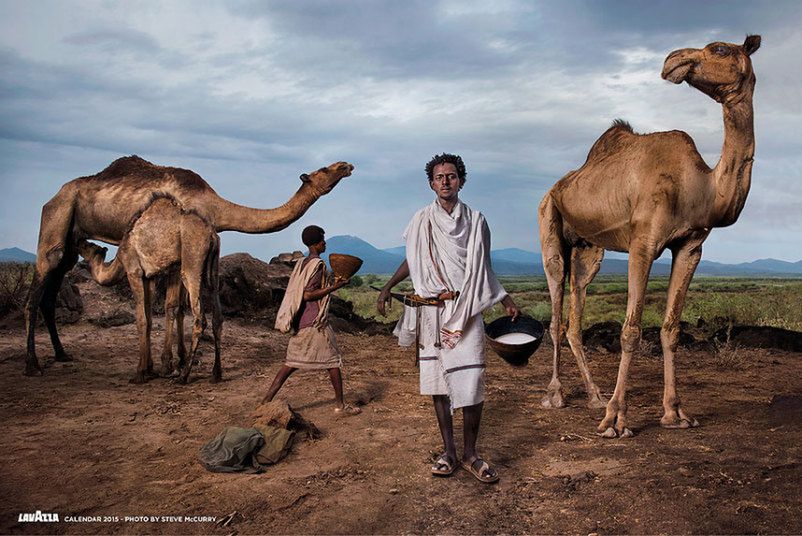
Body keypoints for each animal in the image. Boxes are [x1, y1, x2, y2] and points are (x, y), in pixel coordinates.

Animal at [536, 34, 756, 436]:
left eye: (719, 49)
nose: (673, 60)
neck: (700, 185)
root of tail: (555, 186)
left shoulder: (691, 246)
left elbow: (670, 329)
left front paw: (675, 414)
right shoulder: (643, 244)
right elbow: (631, 330)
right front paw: (615, 420)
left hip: (588, 250)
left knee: (576, 311)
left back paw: (594, 395)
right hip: (549, 222)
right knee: (557, 307)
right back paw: (556, 395)